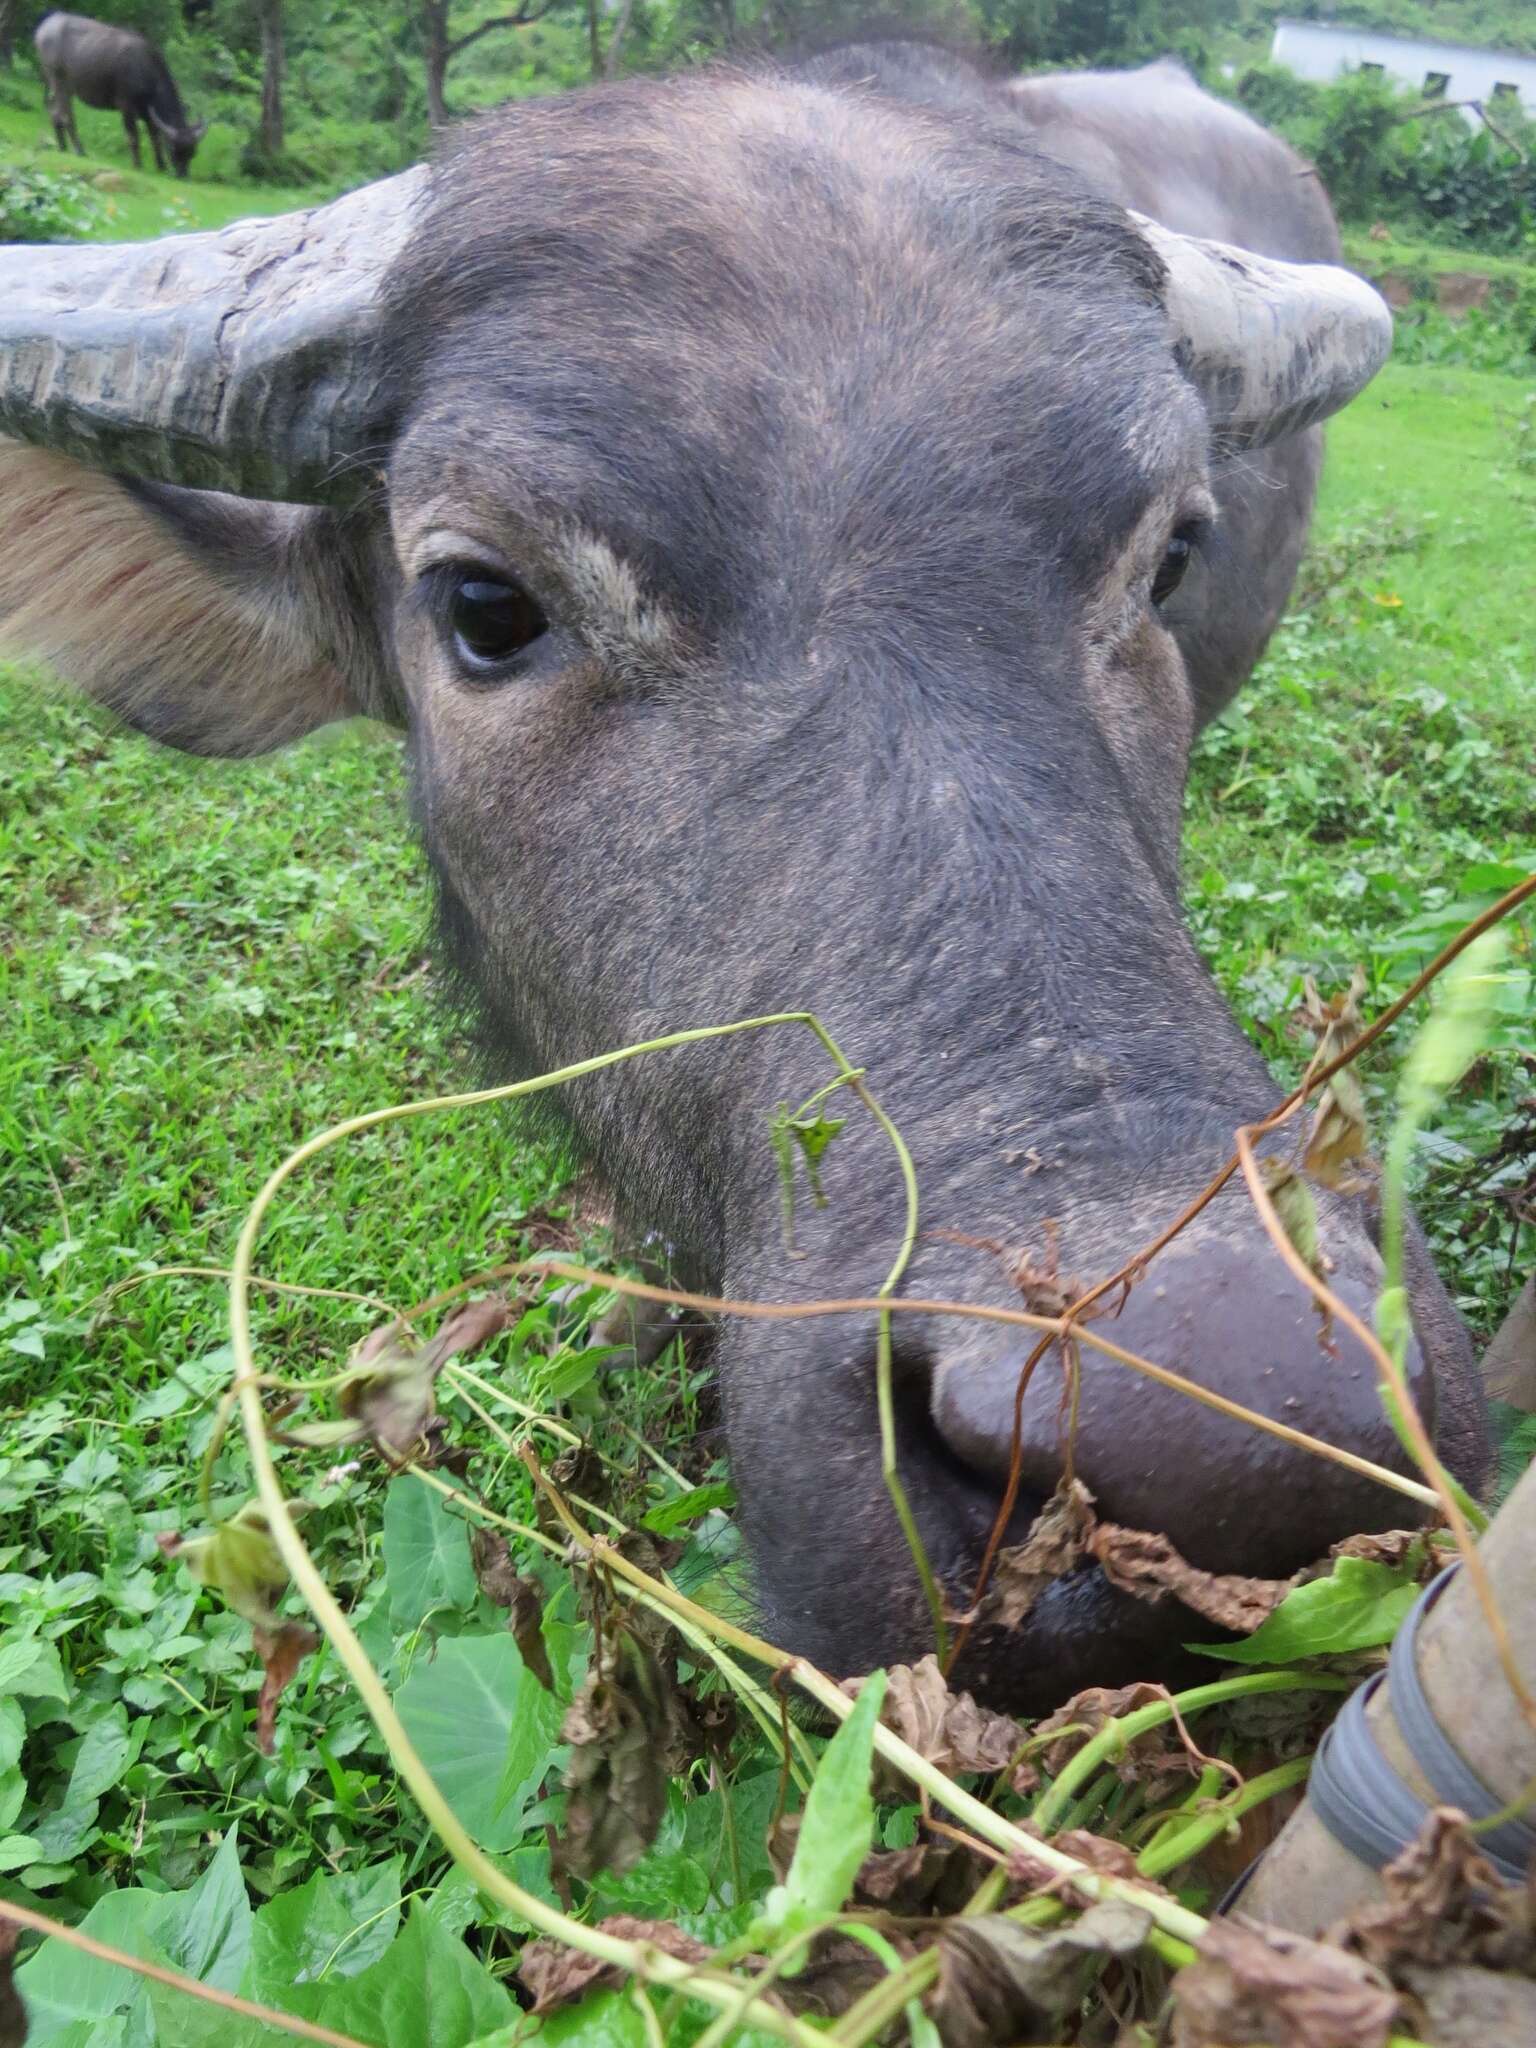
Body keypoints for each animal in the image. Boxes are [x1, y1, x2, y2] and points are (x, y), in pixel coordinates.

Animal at [35, 9, 204, 179]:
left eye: (193, 153)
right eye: (173, 150)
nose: (182, 175)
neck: (146, 71)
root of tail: (44, 27)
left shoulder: (148, 113)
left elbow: (155, 137)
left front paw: (161, 167)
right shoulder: (126, 105)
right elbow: (134, 135)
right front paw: (137, 165)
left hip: (54, 84)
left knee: (54, 113)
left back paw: (62, 148)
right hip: (60, 83)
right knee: (65, 116)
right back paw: (79, 150)